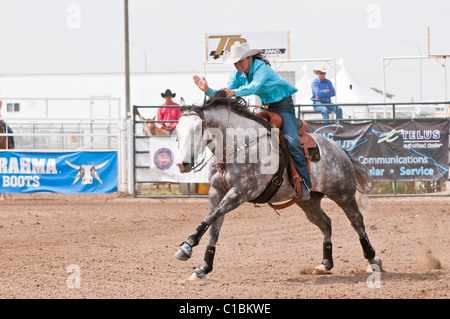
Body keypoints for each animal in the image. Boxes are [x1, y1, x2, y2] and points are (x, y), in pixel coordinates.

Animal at [174, 92, 382, 280]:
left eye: (197, 129)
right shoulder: (216, 193)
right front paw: (203, 267)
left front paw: (186, 247)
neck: (239, 147)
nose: (182, 164)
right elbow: (213, 226)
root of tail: (340, 149)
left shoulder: (240, 192)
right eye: (177, 132)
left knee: (357, 222)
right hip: (309, 202)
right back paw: (325, 264)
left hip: (343, 195)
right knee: (325, 223)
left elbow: (211, 218)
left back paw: (373, 259)